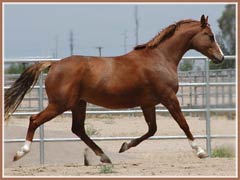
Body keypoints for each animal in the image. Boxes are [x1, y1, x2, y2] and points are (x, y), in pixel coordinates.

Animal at [4, 15, 224, 163]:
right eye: (210, 35)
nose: (220, 58)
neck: (160, 58)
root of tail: (54, 64)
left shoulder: (148, 104)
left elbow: (152, 129)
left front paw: (124, 146)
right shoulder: (169, 98)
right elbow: (183, 124)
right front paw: (200, 151)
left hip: (78, 104)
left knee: (78, 129)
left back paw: (104, 157)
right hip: (60, 104)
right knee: (34, 120)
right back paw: (20, 153)